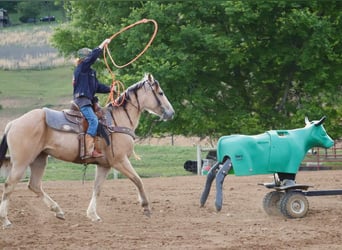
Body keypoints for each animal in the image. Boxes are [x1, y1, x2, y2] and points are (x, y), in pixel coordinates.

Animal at [0, 73, 175, 229]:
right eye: (160, 92)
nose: (171, 113)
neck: (117, 120)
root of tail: (13, 123)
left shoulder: (104, 165)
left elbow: (97, 189)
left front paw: (93, 215)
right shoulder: (120, 161)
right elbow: (138, 180)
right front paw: (146, 207)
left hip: (39, 159)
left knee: (34, 185)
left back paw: (58, 211)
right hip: (21, 162)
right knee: (9, 185)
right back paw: (6, 220)